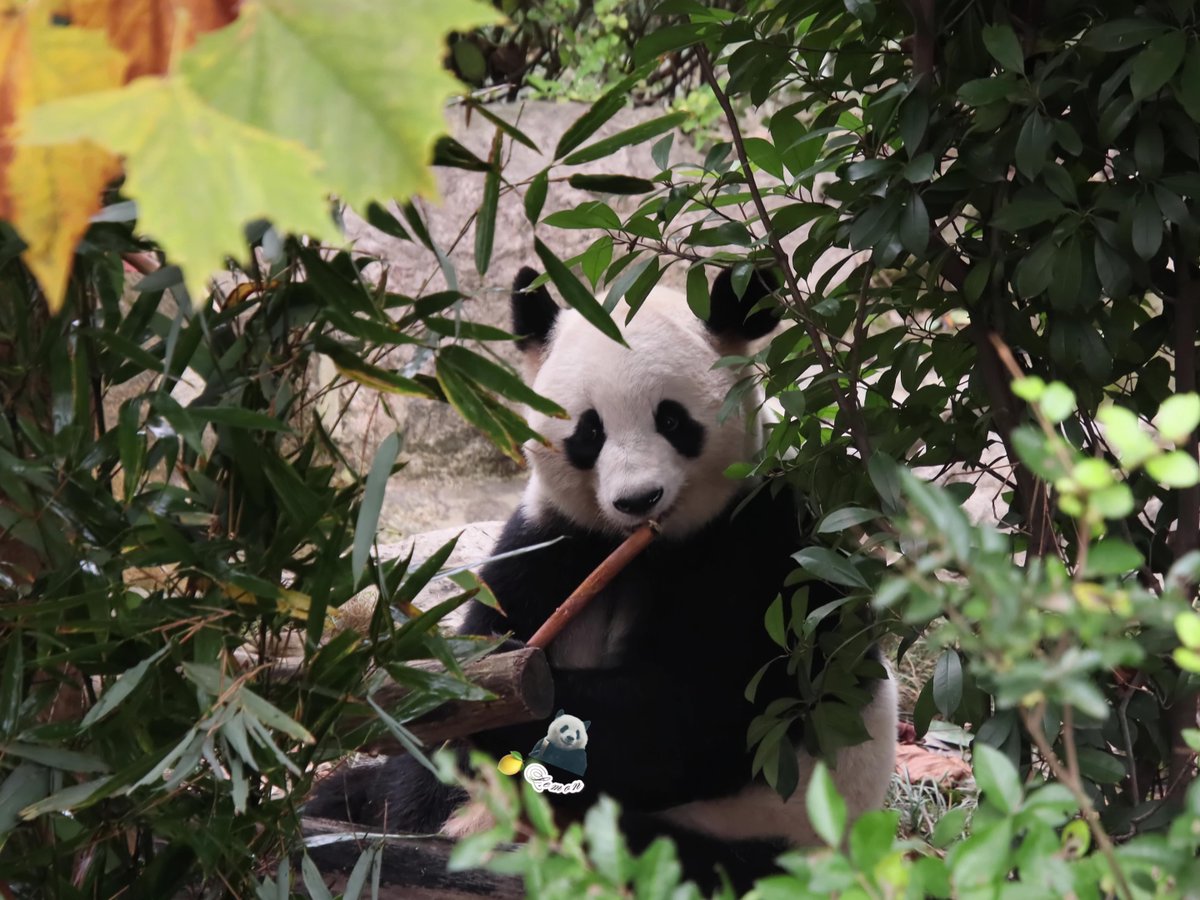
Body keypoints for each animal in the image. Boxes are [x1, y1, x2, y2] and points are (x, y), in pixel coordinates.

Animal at [307, 265, 898, 892]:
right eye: (590, 431)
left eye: (671, 419)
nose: (638, 498)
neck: (636, 547)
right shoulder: (553, 536)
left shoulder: (759, 553)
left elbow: (687, 715)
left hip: (766, 831)